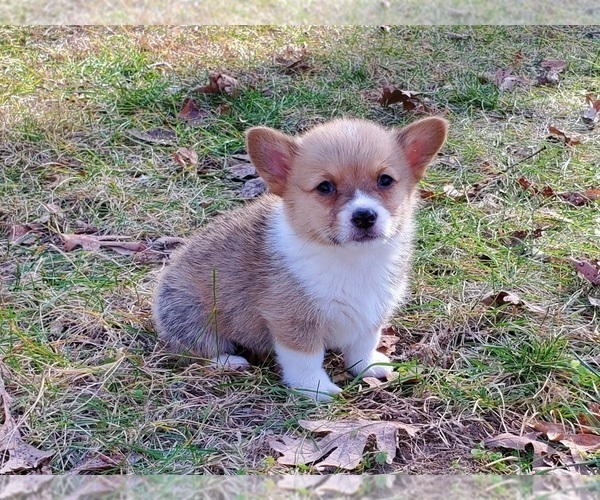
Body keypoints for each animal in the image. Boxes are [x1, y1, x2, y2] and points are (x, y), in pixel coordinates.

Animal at [152, 115, 448, 400]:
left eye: (385, 180)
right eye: (325, 187)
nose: (364, 216)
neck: (352, 259)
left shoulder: (371, 312)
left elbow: (363, 345)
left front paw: (368, 367)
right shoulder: (293, 321)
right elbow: (306, 359)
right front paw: (315, 388)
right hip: (192, 315)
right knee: (197, 349)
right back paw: (229, 362)